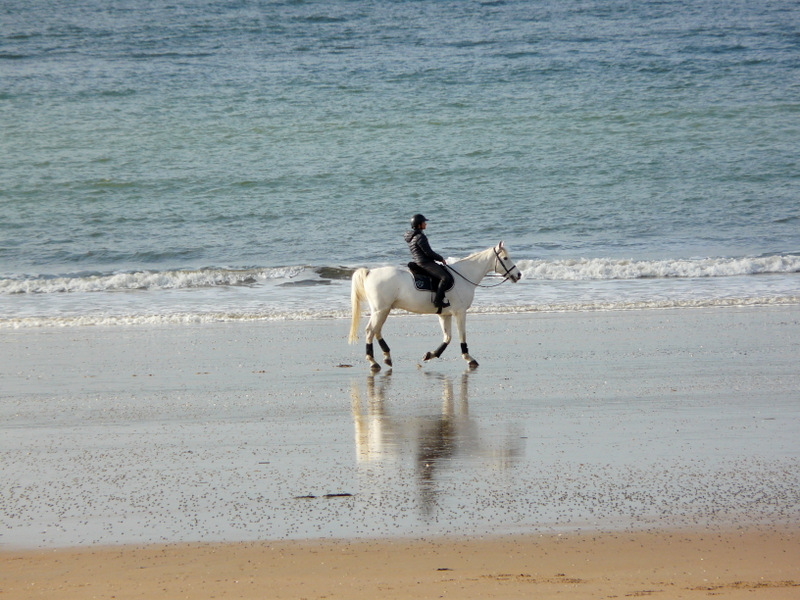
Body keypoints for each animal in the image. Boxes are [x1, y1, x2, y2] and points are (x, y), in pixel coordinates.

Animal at [346, 241, 520, 368]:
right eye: (505, 259)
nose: (518, 274)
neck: (463, 276)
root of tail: (370, 272)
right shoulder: (460, 312)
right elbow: (461, 335)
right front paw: (468, 358)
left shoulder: (445, 314)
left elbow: (447, 337)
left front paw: (430, 355)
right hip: (380, 310)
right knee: (370, 331)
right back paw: (373, 361)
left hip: (384, 310)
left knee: (377, 331)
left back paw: (387, 357)